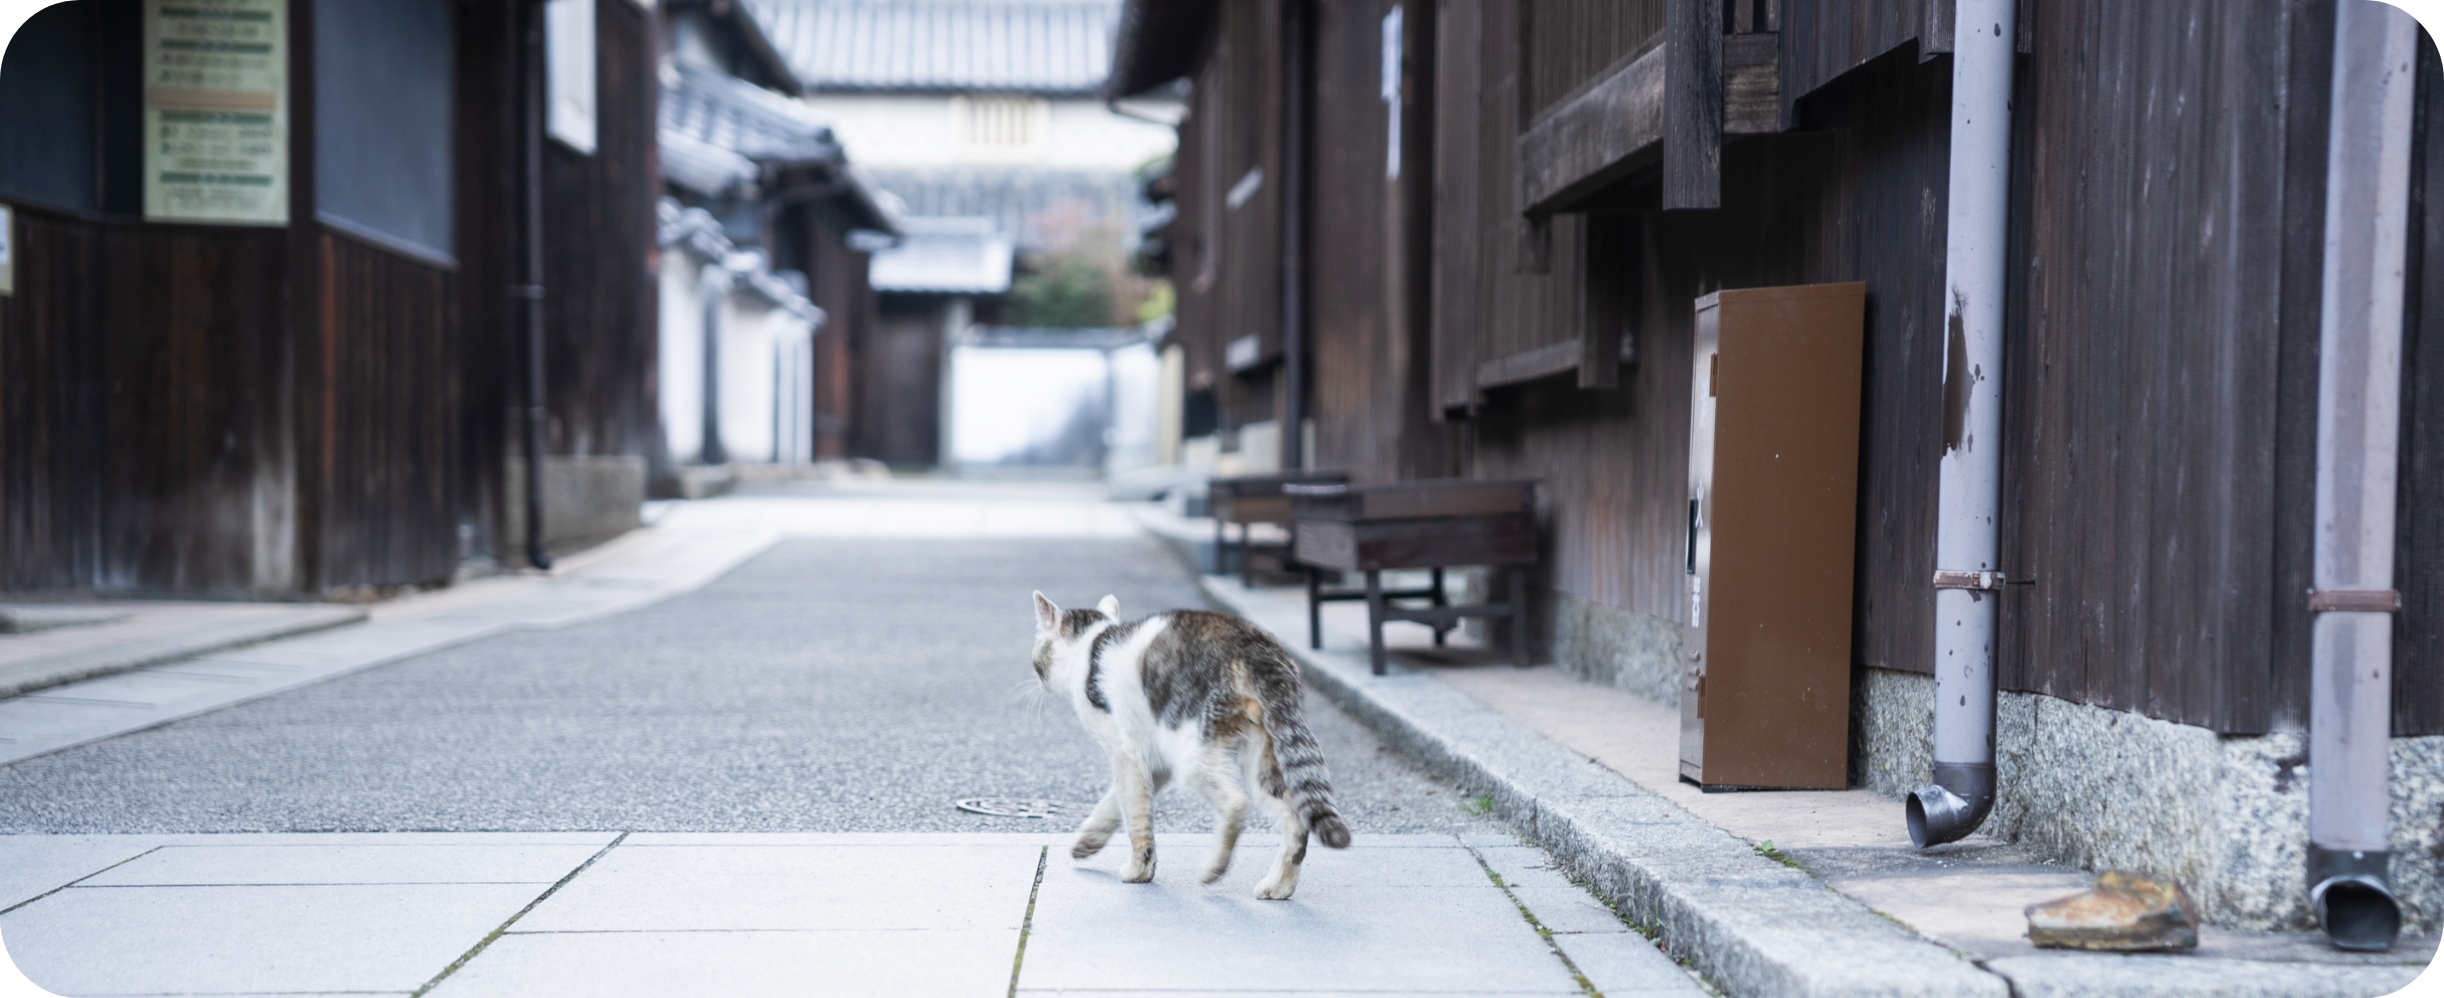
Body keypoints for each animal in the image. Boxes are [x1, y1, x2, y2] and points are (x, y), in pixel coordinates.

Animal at [1021, 589, 1349, 900]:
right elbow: (1116, 803)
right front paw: (1089, 840)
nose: (1038, 679)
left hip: (1191, 751)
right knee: (1295, 820)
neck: (1088, 645)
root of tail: (1257, 646)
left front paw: (1139, 870)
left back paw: (1215, 868)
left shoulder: (1127, 754)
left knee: (1236, 803)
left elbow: (1134, 814)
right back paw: (1278, 887)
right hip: (1265, 758)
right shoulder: (1155, 765)